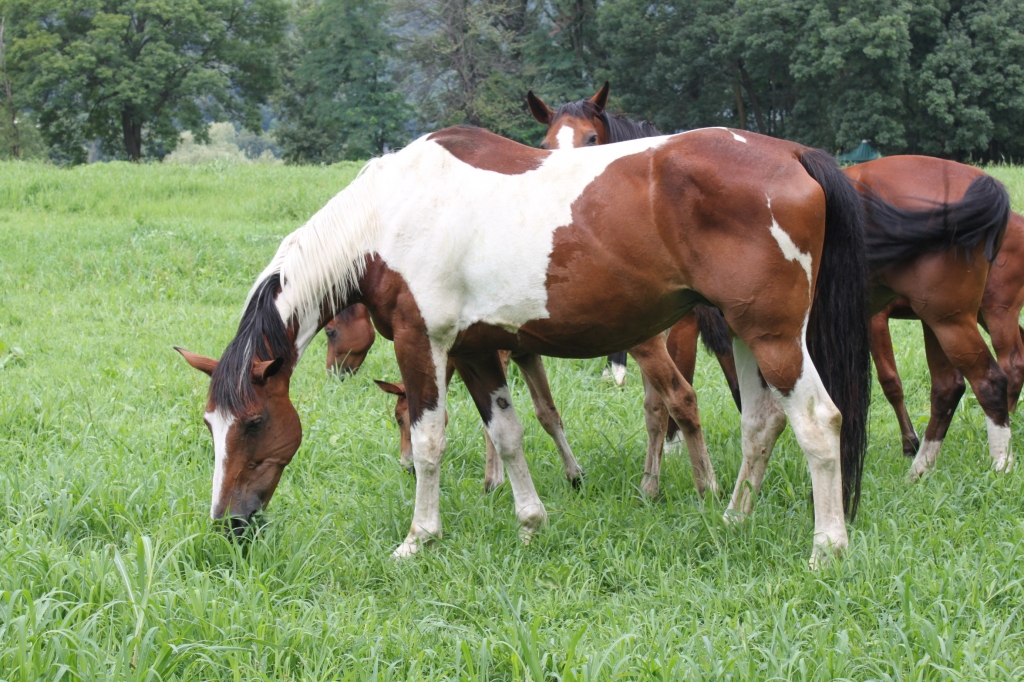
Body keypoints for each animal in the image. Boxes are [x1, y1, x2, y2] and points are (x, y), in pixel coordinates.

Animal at [176, 124, 872, 565]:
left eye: (255, 422)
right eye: (211, 425)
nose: (228, 524)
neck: (385, 218)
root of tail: (793, 153)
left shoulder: (423, 344)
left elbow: (428, 442)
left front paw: (418, 539)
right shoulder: (477, 351)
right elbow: (508, 434)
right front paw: (532, 523)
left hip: (774, 335)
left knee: (818, 422)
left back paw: (827, 548)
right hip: (747, 335)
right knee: (761, 424)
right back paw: (732, 519)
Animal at [843, 157, 1019, 477]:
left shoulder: (872, 320)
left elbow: (889, 382)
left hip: (969, 318)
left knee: (995, 376)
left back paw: (1001, 462)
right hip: (943, 320)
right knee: (949, 386)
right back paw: (921, 467)